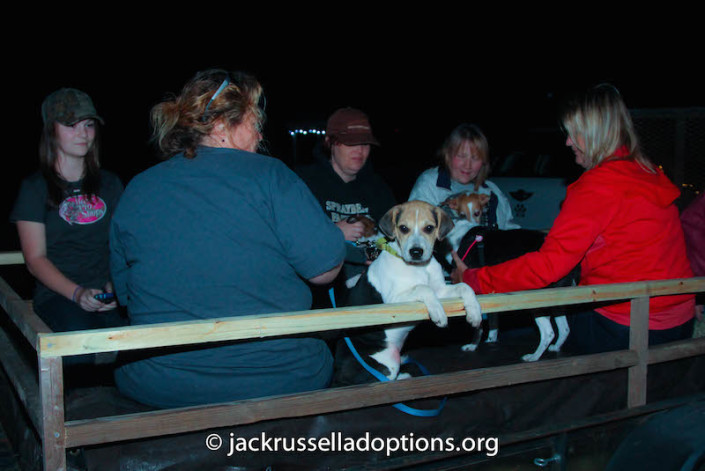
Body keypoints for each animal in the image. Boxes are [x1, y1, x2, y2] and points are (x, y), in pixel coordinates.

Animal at [332, 200, 482, 388]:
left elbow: (464, 287)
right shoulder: (393, 302)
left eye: (429, 228)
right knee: (379, 381)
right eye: (403, 228)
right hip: (389, 361)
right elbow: (423, 288)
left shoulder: (441, 290)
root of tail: (337, 376)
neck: (419, 268)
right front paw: (438, 313)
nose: (416, 252)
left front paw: (474, 312)